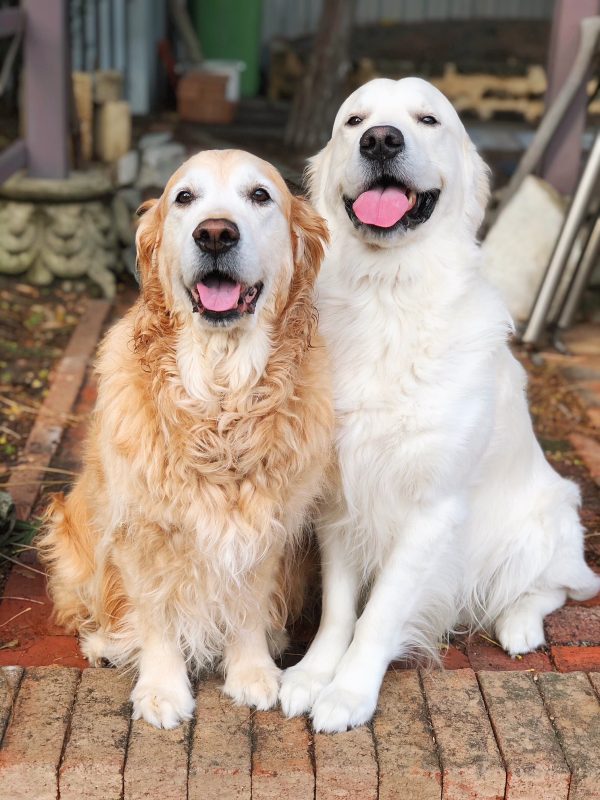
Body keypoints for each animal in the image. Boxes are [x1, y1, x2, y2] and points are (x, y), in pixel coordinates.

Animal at [278, 79, 596, 732]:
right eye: (355, 121)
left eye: (428, 119)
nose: (381, 140)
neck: (388, 296)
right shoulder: (340, 496)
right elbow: (339, 610)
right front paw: (313, 674)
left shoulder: (432, 510)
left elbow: (378, 615)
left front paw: (348, 692)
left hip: (546, 522)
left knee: (562, 587)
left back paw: (520, 626)